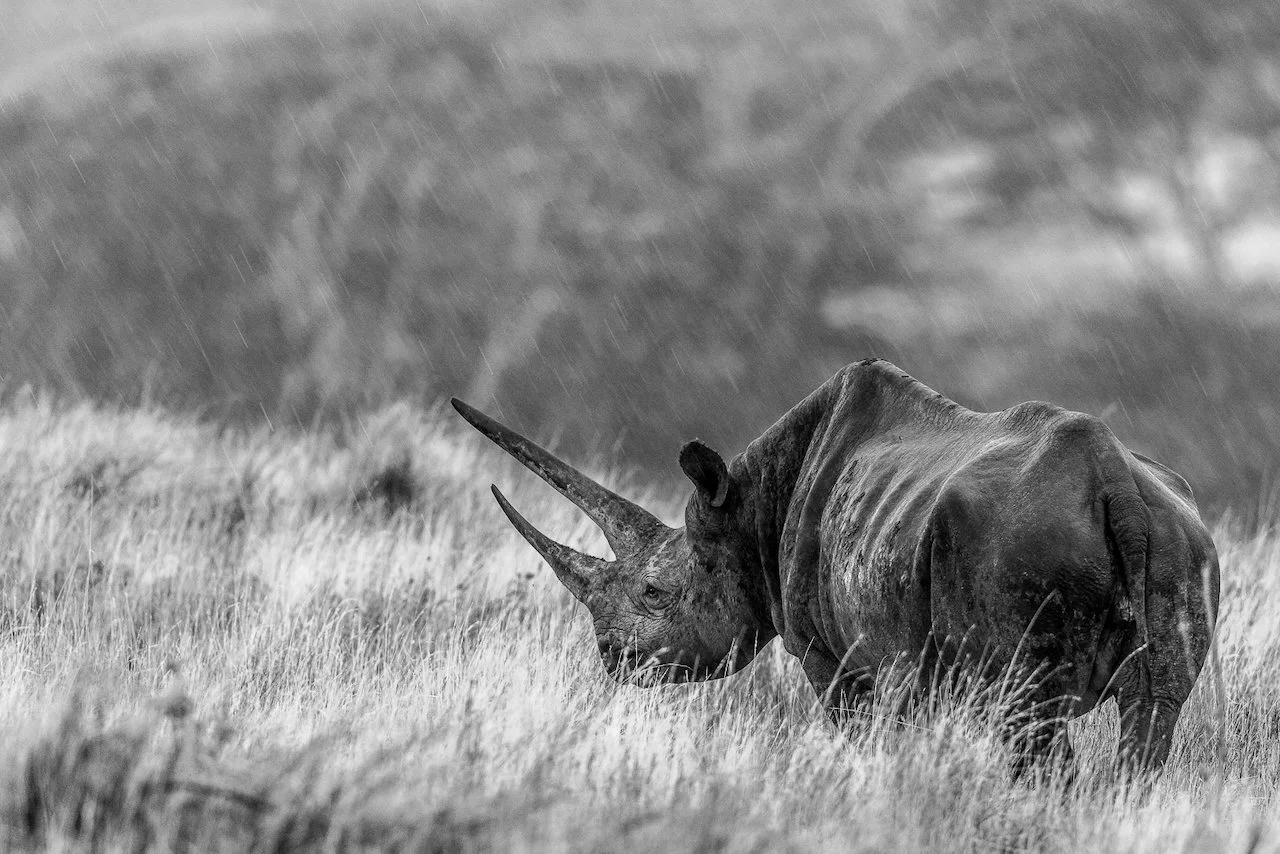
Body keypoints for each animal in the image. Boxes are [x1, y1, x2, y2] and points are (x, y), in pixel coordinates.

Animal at [451, 359, 1218, 773]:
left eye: (655, 592)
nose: (612, 658)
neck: (746, 509)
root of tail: (1116, 484)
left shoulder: (831, 654)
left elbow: (862, 735)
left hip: (1022, 549)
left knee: (1033, 723)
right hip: (1182, 543)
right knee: (1153, 713)